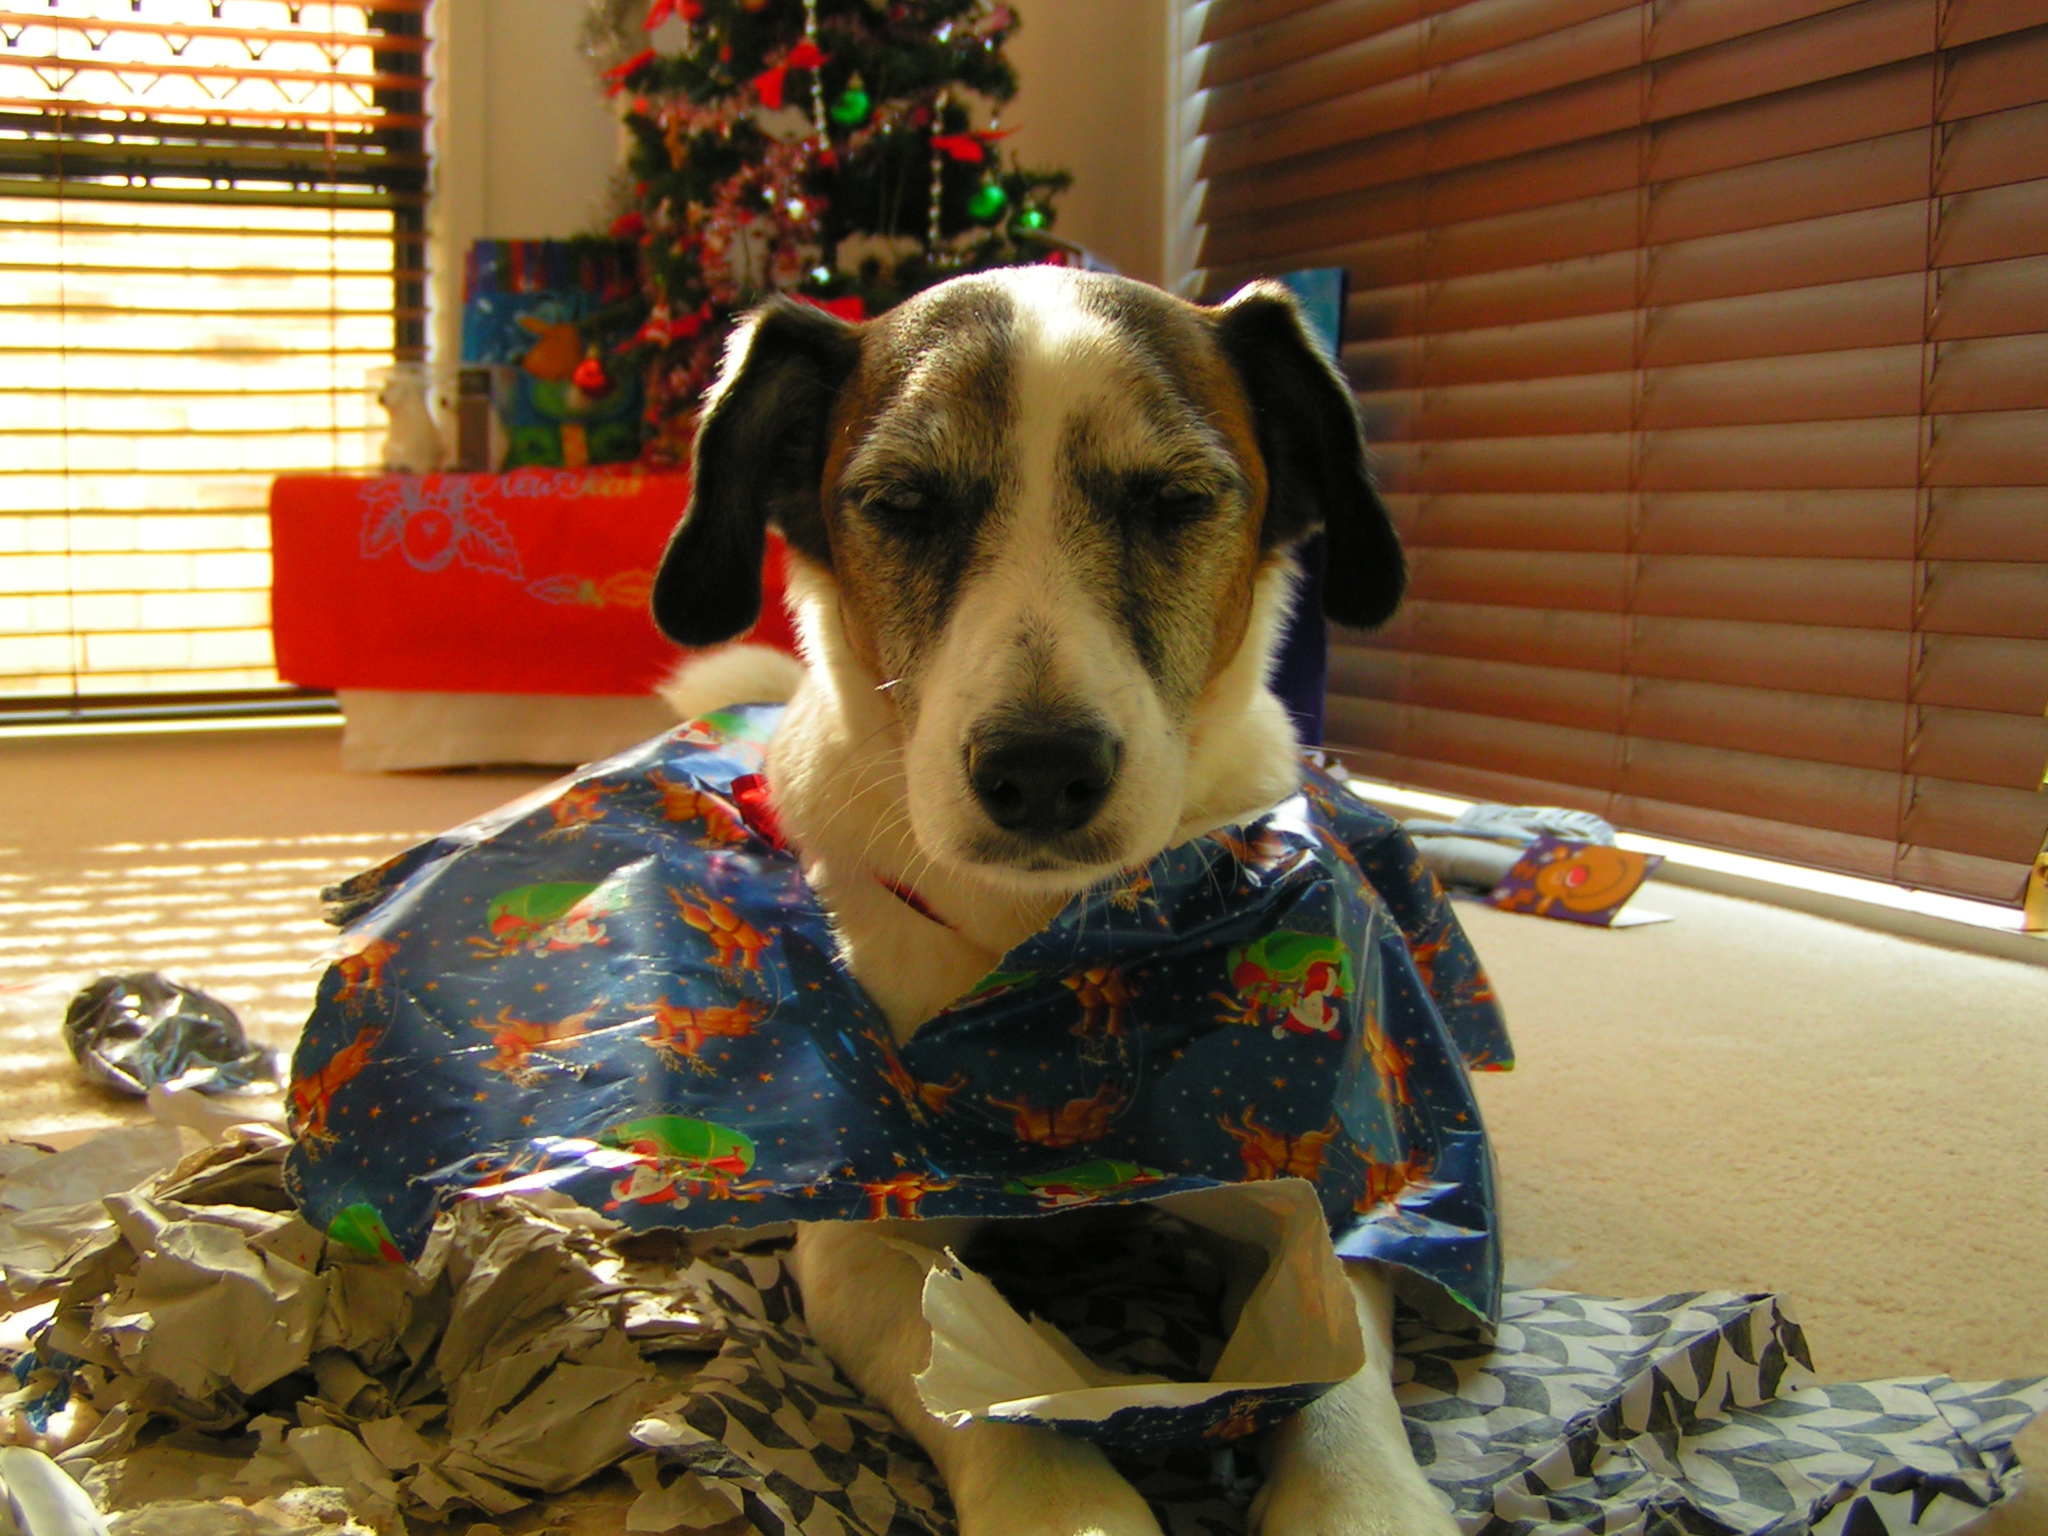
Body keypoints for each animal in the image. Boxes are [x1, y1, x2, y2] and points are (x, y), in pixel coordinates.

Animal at [647, 270, 1449, 1531]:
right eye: (903, 503)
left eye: (1176, 500)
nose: (1037, 771)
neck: (1055, 945)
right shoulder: (865, 1248)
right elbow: (977, 1386)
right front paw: (1065, 1501)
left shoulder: (1324, 1201)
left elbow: (1337, 1371)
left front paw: (1359, 1501)